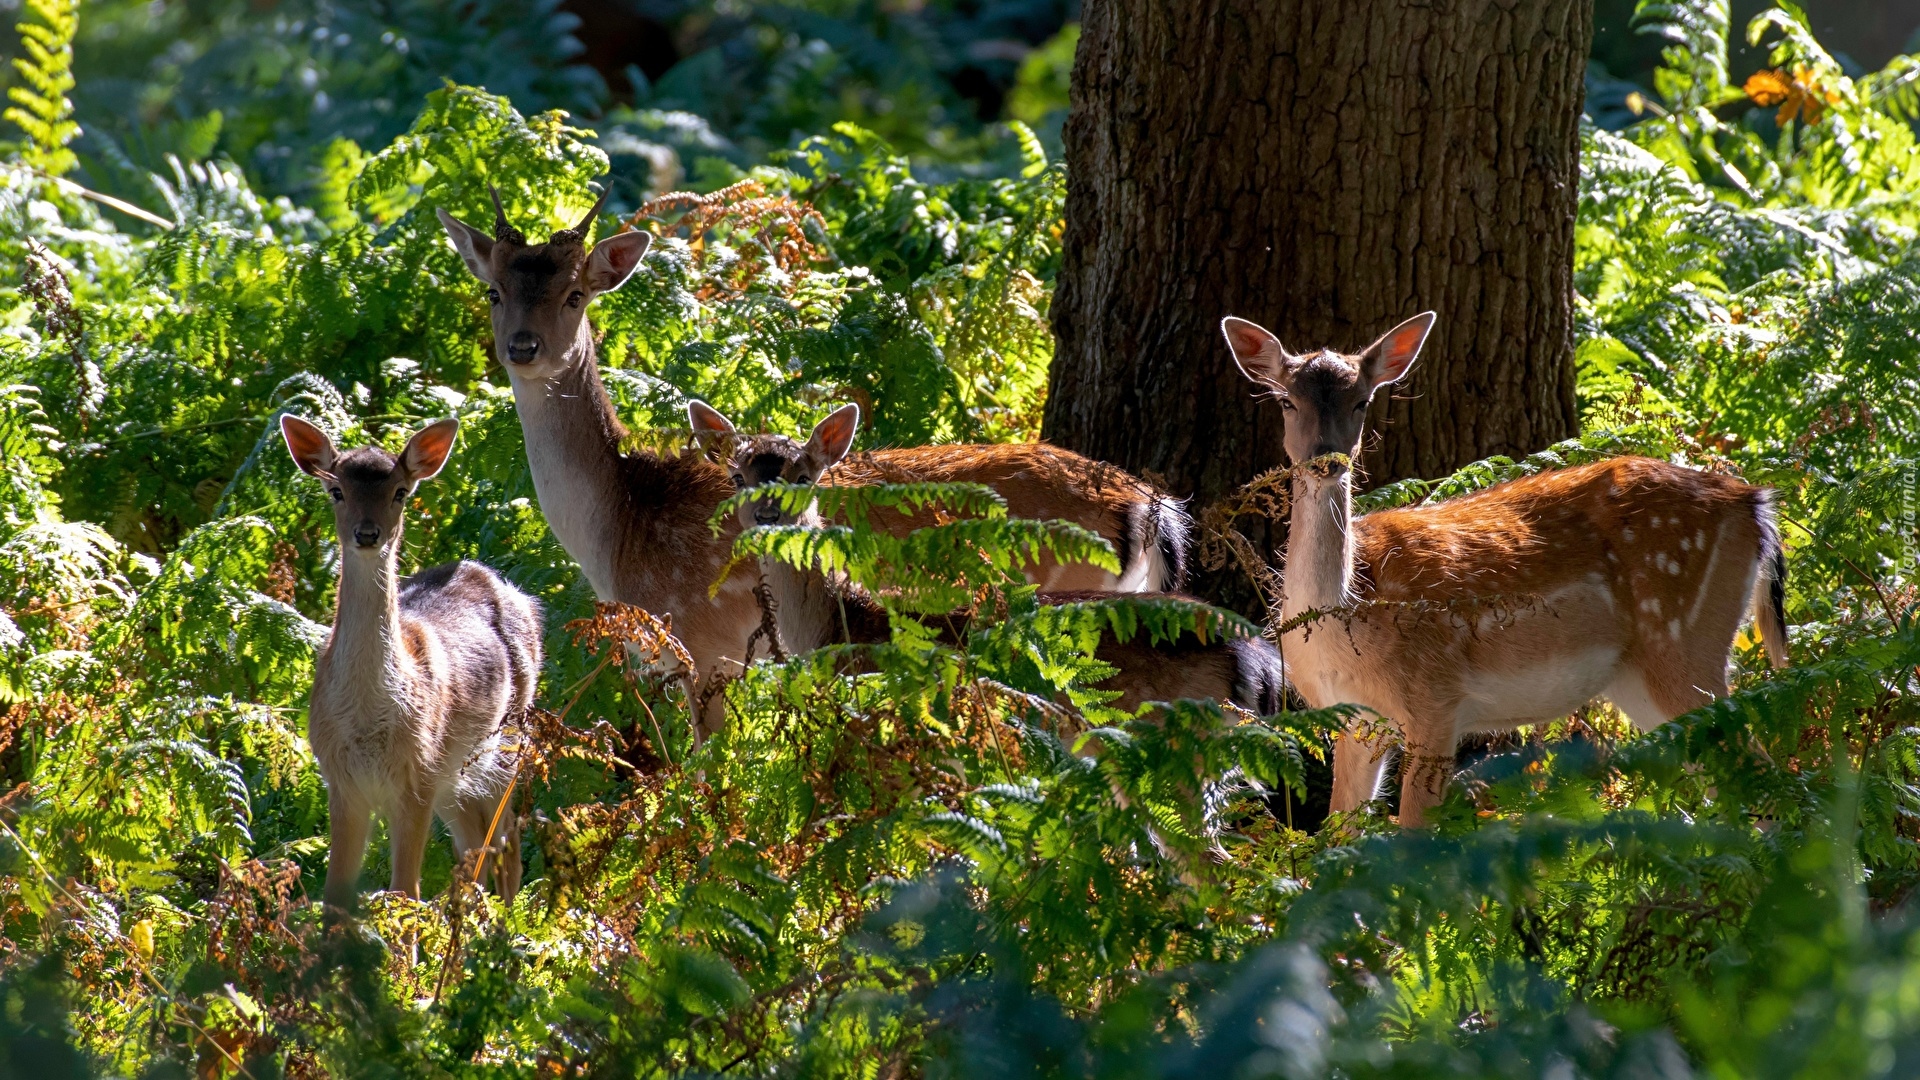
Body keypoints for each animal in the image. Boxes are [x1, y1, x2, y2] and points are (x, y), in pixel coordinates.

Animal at [276, 417, 541, 903]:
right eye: (336, 490)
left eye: (400, 491)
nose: (367, 534)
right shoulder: (341, 780)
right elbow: (334, 897)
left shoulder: (418, 772)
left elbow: (406, 892)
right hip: (455, 778)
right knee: (474, 847)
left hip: (510, 742)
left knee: (507, 846)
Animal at [441, 187, 1190, 737]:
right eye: (494, 291)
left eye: (576, 293)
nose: (523, 347)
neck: (619, 529)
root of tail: (1152, 510)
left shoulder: (705, 648)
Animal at [1221, 311, 1789, 822]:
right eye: (1287, 400)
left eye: (1362, 400)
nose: (1327, 460)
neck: (1346, 616)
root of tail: (1754, 505)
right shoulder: (1354, 720)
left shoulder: (1435, 699)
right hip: (1639, 677)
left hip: (1685, 640)